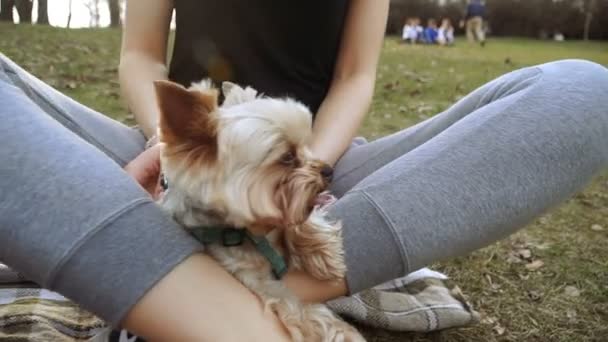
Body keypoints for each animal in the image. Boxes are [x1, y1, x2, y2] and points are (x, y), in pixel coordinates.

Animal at [153, 79, 366, 340]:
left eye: (305, 147)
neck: (250, 233)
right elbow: (292, 304)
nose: (328, 170)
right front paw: (342, 332)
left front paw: (323, 252)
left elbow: (298, 218)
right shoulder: (246, 276)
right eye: (287, 157)